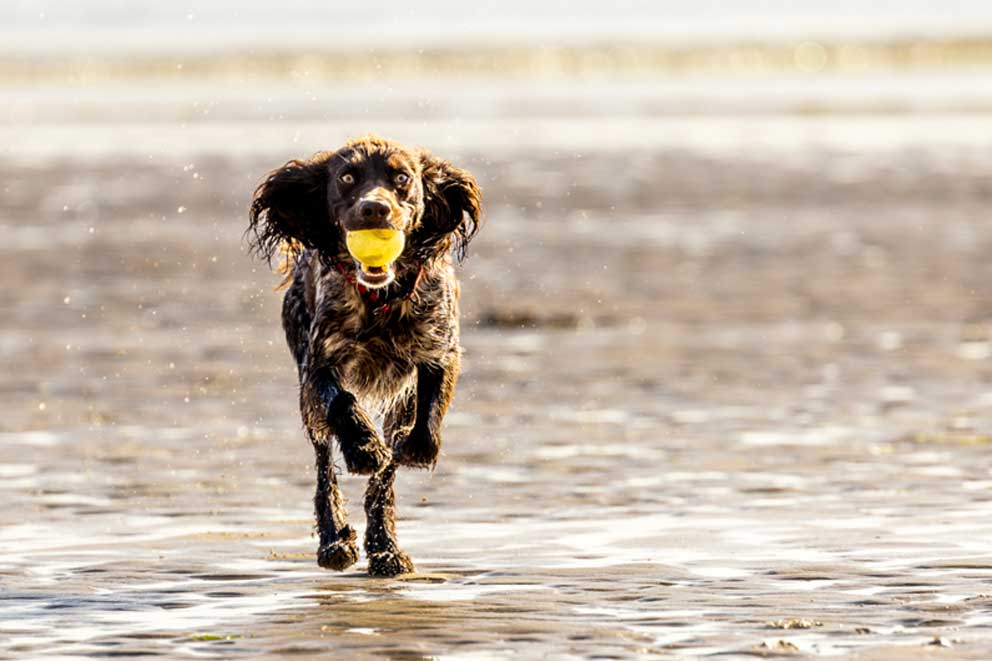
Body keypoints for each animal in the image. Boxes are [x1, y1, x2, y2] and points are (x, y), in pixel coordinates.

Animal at [248, 135, 482, 576]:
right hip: (310, 405)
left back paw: (385, 548)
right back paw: (335, 540)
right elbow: (342, 401)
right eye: (347, 177)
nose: (375, 208)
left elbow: (425, 415)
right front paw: (363, 448)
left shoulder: (439, 351)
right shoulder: (318, 365)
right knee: (325, 468)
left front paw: (418, 447)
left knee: (386, 476)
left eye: (402, 177)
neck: (380, 299)